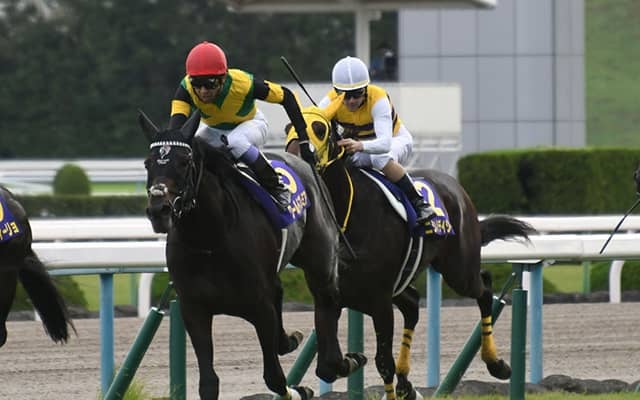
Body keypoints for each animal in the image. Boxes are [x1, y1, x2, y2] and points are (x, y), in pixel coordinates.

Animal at [138, 110, 365, 400]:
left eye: (184, 161)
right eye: (148, 164)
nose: (159, 210)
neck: (210, 238)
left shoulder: (260, 307)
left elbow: (275, 379)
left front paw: (300, 388)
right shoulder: (194, 309)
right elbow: (208, 383)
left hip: (320, 258)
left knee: (328, 303)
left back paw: (341, 361)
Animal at [286, 100, 537, 400]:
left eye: (319, 128)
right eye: (288, 126)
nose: (292, 159)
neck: (345, 217)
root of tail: (456, 188)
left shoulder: (380, 301)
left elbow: (383, 363)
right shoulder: (329, 298)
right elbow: (327, 365)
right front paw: (353, 360)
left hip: (459, 269)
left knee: (485, 288)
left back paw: (496, 364)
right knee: (413, 303)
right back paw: (407, 383)